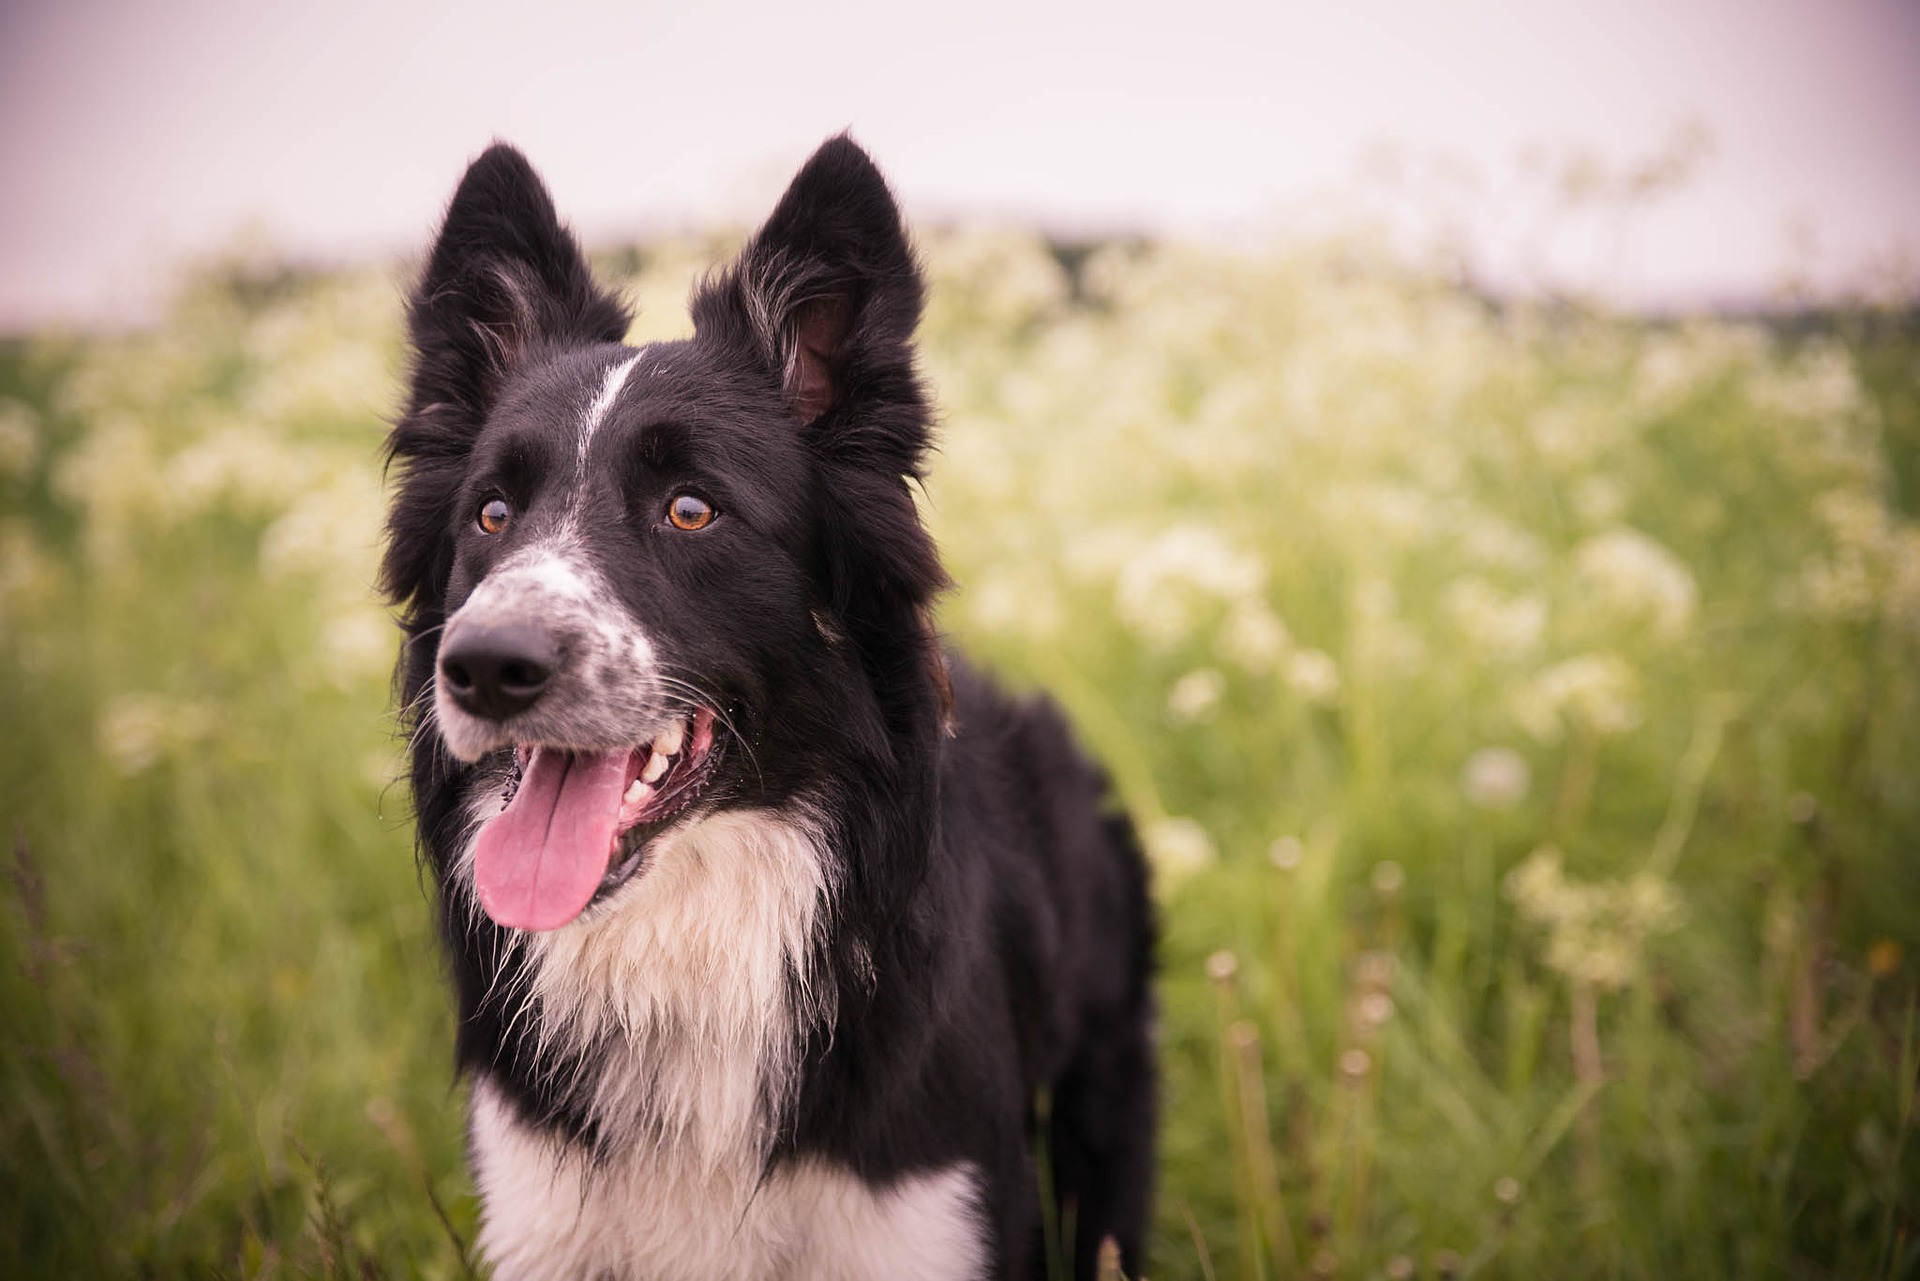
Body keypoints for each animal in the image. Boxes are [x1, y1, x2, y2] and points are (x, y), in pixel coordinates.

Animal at [380, 135, 1144, 1275]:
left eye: (692, 510)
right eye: (493, 512)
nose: (482, 667)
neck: (690, 935)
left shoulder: (922, 1216)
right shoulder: (543, 1215)